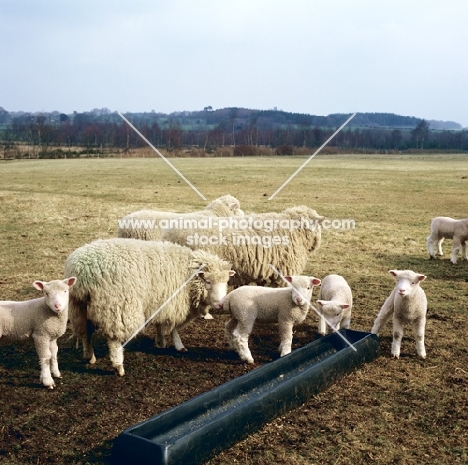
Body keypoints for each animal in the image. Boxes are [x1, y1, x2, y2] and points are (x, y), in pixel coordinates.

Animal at [64, 237, 236, 376]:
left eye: (226, 282)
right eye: (208, 281)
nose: (221, 303)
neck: (188, 275)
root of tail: (83, 271)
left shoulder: (161, 302)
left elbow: (161, 324)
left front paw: (160, 342)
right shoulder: (173, 303)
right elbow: (173, 327)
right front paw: (178, 345)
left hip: (79, 306)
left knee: (85, 332)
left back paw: (90, 356)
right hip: (117, 305)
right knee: (113, 340)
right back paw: (118, 366)